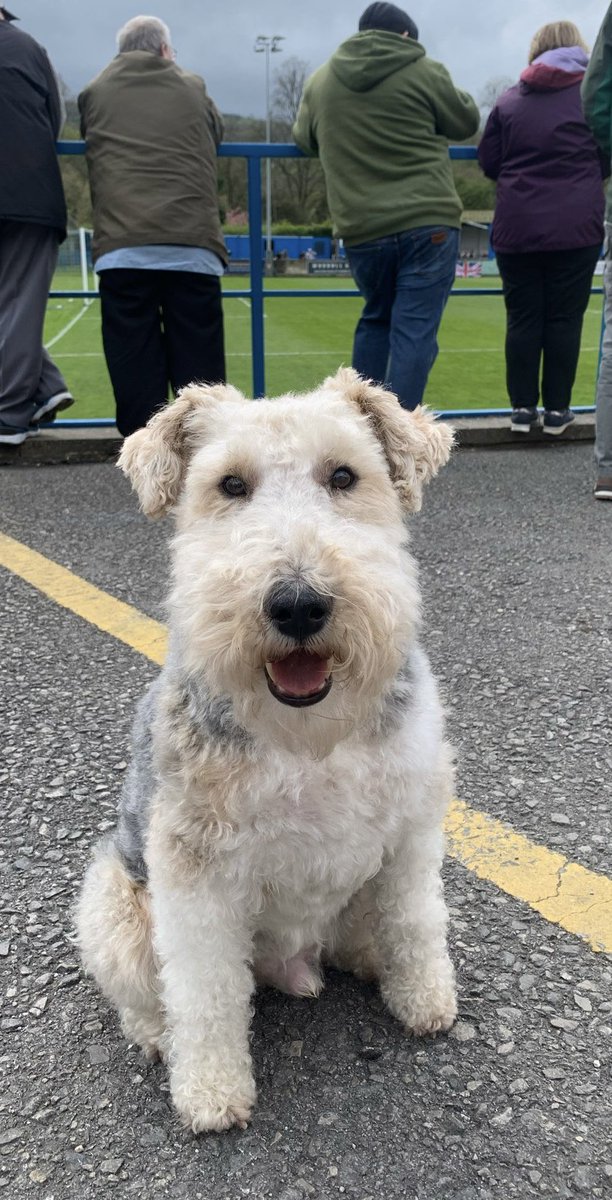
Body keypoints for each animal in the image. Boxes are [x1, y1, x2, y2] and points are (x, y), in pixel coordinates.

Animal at [76, 367, 456, 1132]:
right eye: (229, 485)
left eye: (344, 475)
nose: (299, 605)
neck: (309, 739)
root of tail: (295, 966)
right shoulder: (194, 872)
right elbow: (204, 990)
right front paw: (211, 1093)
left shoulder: (411, 831)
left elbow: (415, 919)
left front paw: (425, 1002)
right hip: (110, 902)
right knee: (149, 995)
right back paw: (158, 1038)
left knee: (369, 932)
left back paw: (371, 961)